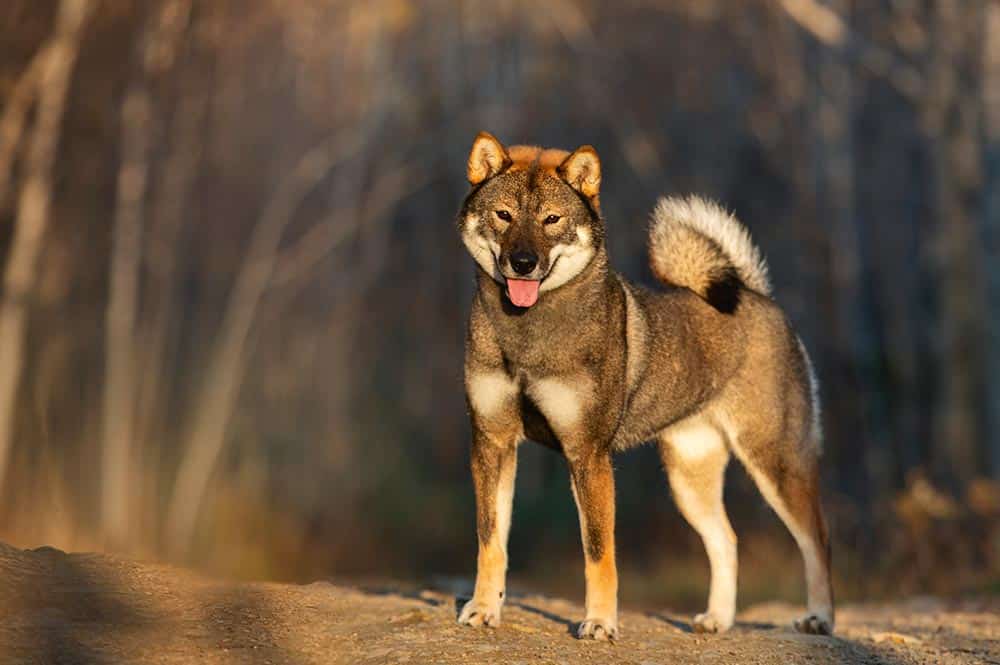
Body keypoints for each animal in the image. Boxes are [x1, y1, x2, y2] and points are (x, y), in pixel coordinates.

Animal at [458, 131, 832, 640]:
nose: (523, 262)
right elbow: (490, 539)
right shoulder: (492, 442)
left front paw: (599, 623)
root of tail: (756, 296)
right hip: (688, 479)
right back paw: (718, 618)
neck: (526, 331)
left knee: (817, 540)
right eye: (504, 215)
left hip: (775, 462)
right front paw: (484, 608)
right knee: (726, 541)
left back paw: (820, 617)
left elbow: (599, 553)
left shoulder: (588, 454)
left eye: (552, 219)